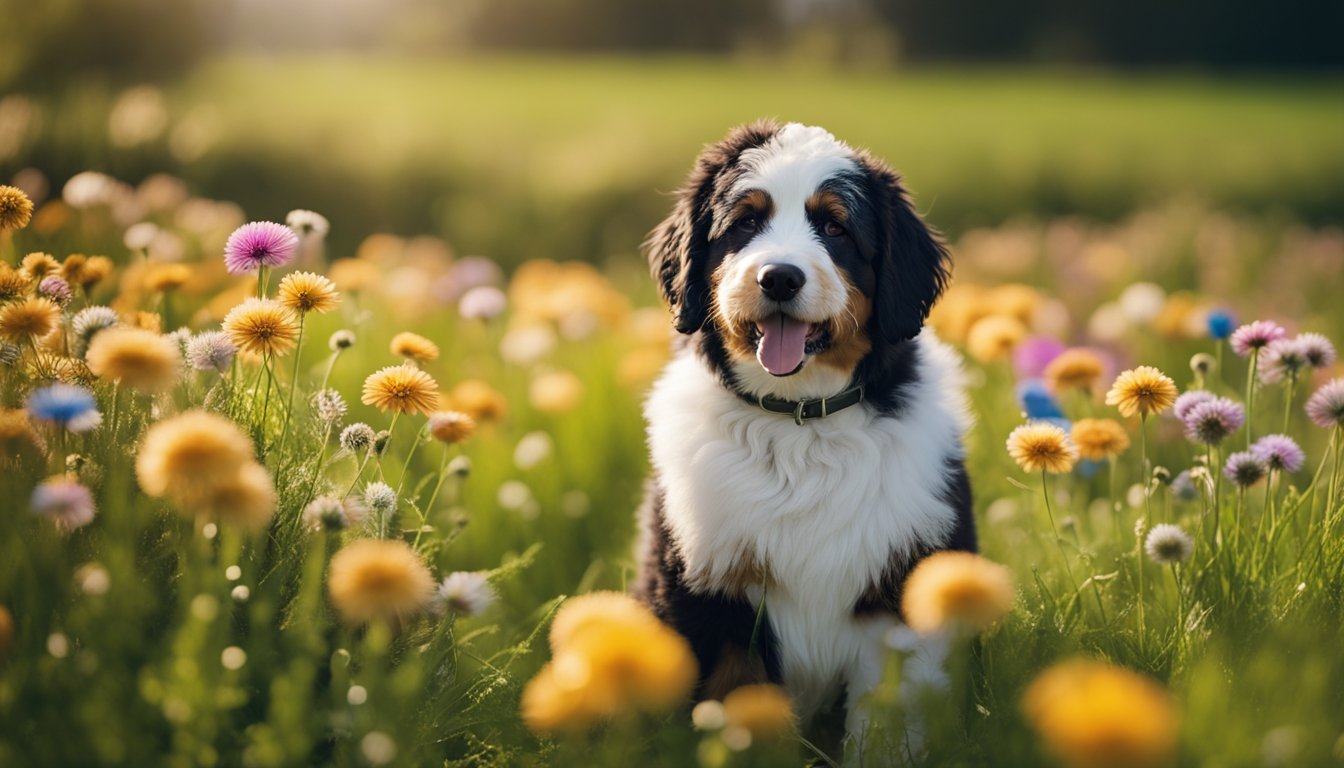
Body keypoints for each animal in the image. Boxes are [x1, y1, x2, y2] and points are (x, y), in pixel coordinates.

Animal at [634, 121, 973, 747]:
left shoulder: (898, 600)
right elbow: (737, 707)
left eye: (836, 227)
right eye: (745, 222)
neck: (801, 425)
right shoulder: (712, 599)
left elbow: (882, 729)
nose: (780, 277)